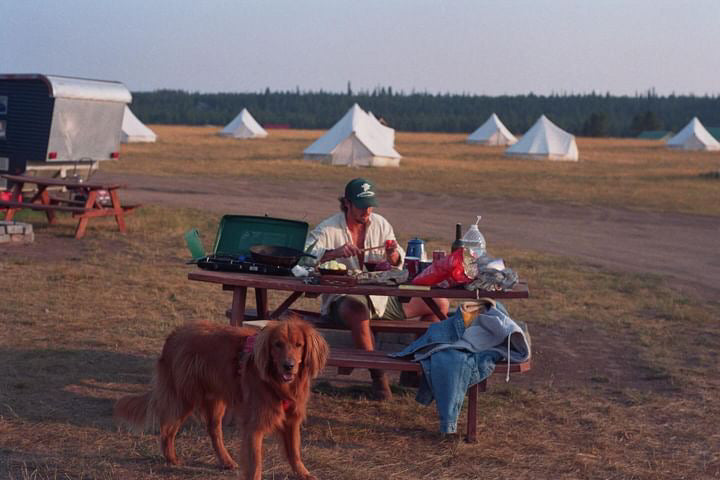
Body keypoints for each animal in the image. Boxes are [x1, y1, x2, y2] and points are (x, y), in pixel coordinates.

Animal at [114, 316, 328, 478]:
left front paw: (304, 474)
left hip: (215, 402)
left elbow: (294, 452)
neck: (277, 383)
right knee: (167, 429)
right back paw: (172, 458)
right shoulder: (254, 426)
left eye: (299, 345)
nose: (288, 366)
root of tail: (174, 335)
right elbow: (255, 463)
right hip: (184, 398)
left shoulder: (292, 420)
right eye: (277, 345)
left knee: (213, 431)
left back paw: (225, 461)